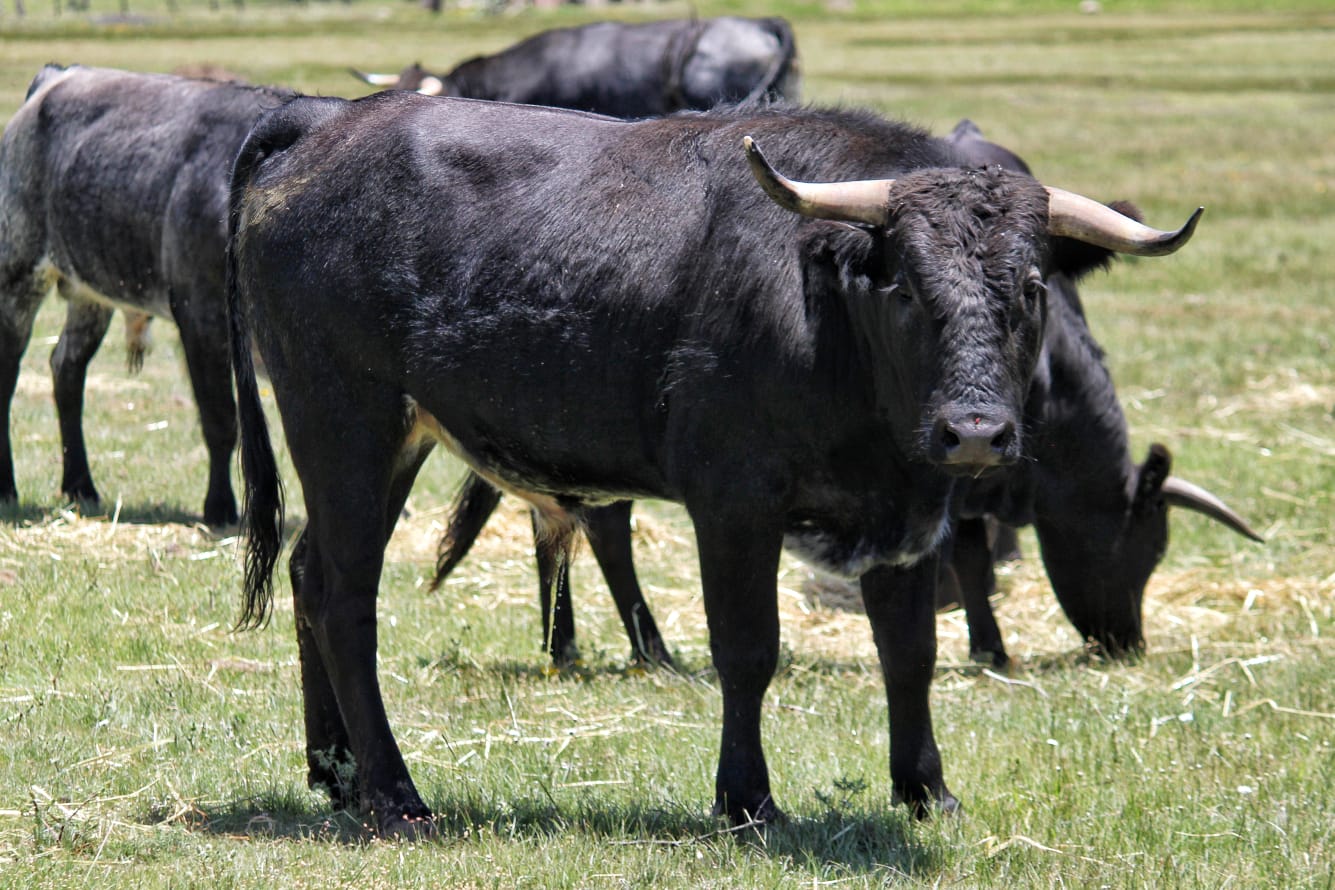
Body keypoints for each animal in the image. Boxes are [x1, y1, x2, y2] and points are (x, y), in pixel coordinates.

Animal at [0, 66, 293, 525]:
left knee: (67, 369)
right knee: (8, 371)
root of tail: (59, 75)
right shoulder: (201, 316)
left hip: (91, 292)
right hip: (18, 271)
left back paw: (80, 486)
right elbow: (220, 419)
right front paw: (220, 507)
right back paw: (6, 487)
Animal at [226, 92, 1201, 837]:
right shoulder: (735, 503)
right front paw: (746, 801)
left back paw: (334, 773)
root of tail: (324, 122)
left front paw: (926, 790)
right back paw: (394, 795)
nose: (972, 433)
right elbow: (746, 649)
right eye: (904, 285)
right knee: (343, 597)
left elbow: (909, 655)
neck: (826, 317)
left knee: (311, 573)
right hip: (343, 418)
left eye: (1029, 289)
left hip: (387, 437)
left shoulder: (906, 521)